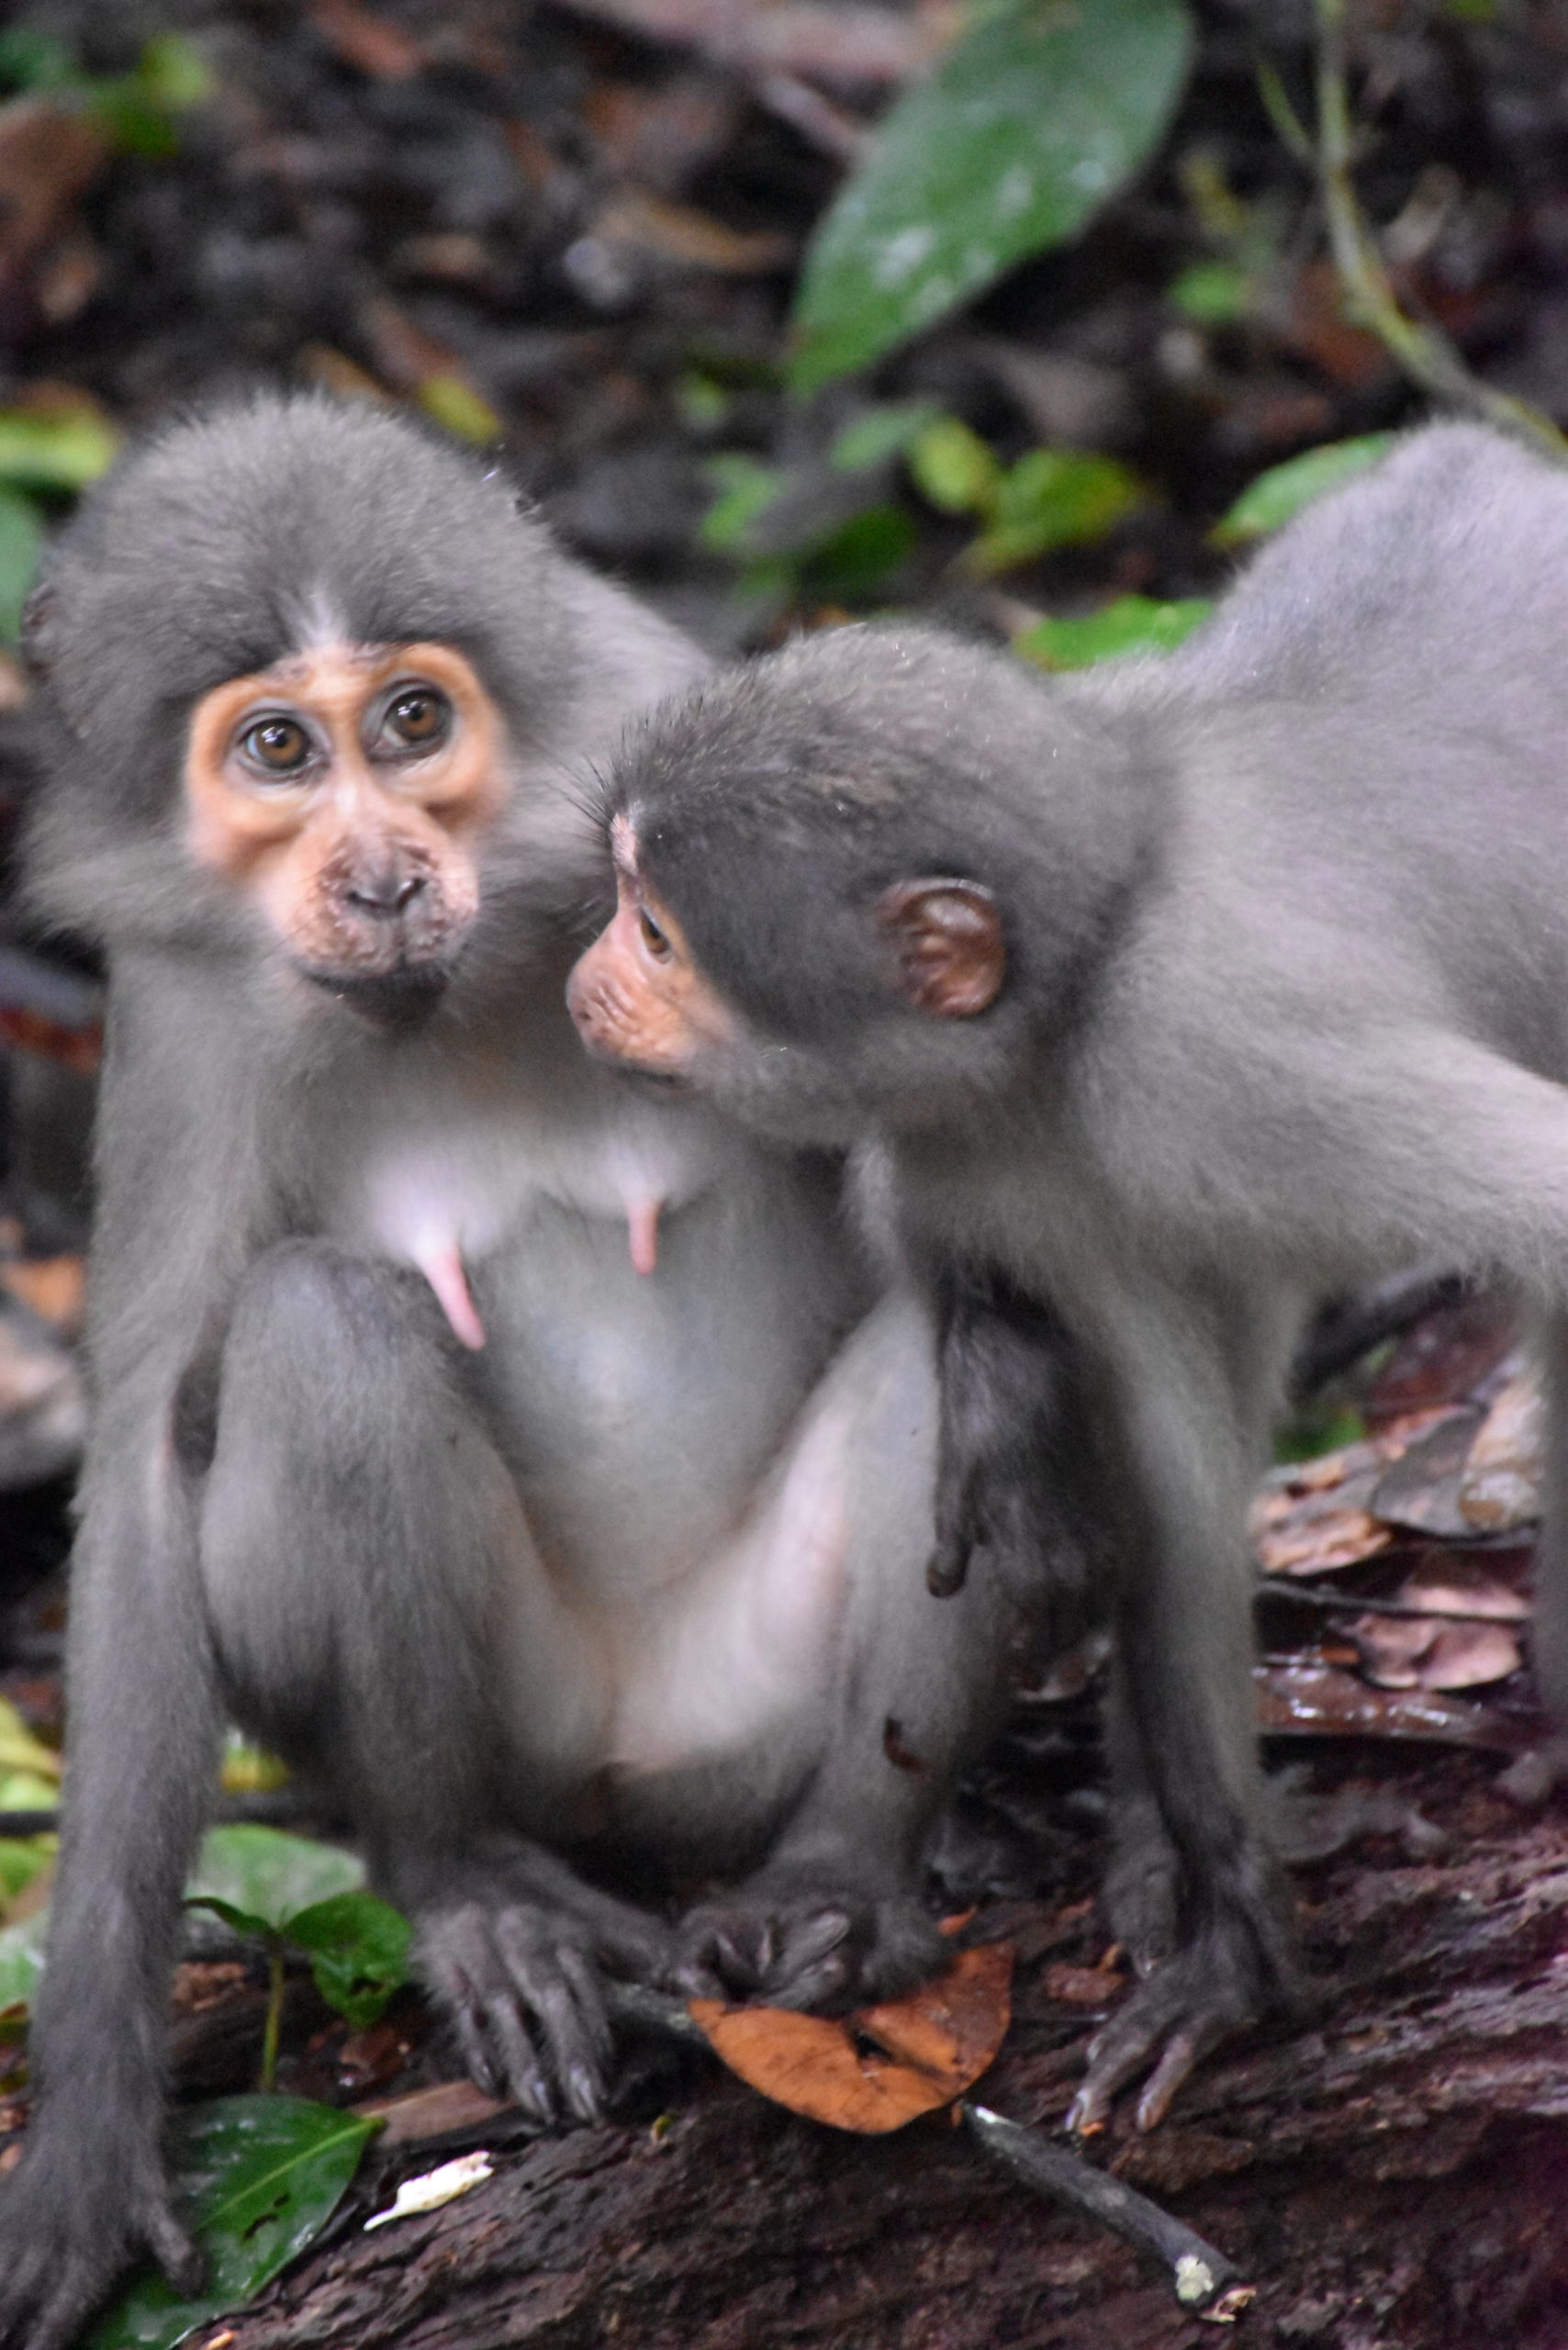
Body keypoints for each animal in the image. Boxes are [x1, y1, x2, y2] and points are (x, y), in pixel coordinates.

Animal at [0, 395, 1029, 2340]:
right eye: (276, 749)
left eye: (413, 723)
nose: (383, 873)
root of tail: (633, 1760)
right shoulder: (184, 1020)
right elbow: (146, 1480)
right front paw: (86, 2119)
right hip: (531, 1725)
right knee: (323, 1335)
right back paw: (472, 1889)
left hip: (745, 1708)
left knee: (937, 1403)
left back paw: (848, 1875)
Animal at [573, 413, 1568, 2143]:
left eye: (655, 936)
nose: (577, 980)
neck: (1080, 978)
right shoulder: (987, 1148)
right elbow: (1151, 1468)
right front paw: (1217, 1902)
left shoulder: (1218, 1061)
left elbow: (1557, 1210)